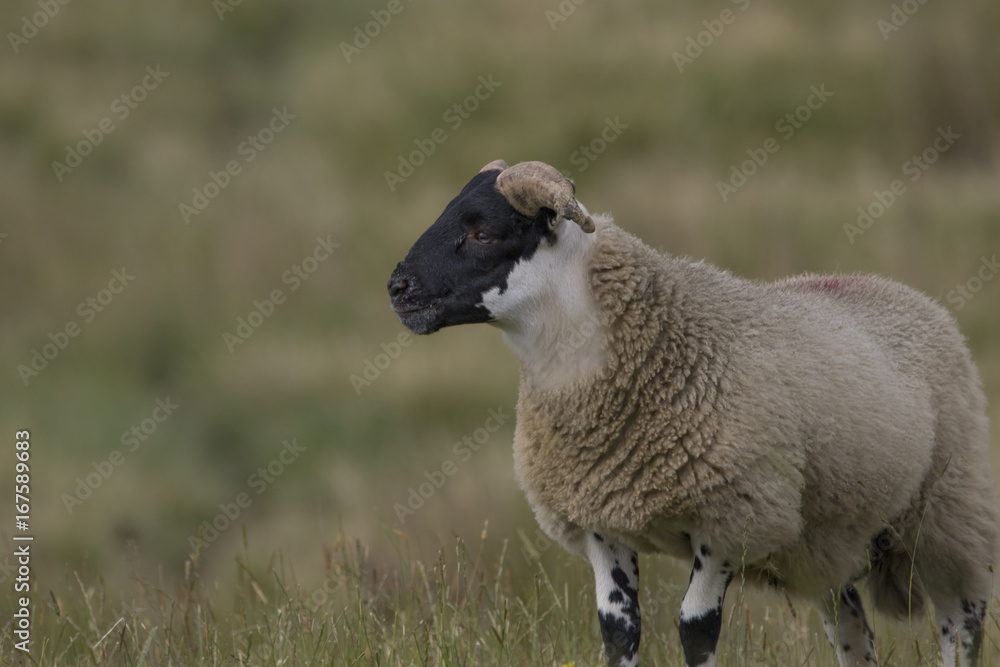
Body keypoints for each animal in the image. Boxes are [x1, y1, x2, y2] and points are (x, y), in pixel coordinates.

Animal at [387, 159, 998, 667]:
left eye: (483, 232)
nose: (397, 288)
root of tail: (896, 290)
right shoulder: (601, 523)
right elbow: (620, 629)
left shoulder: (731, 519)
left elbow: (694, 630)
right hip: (827, 544)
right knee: (854, 635)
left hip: (948, 516)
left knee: (961, 623)